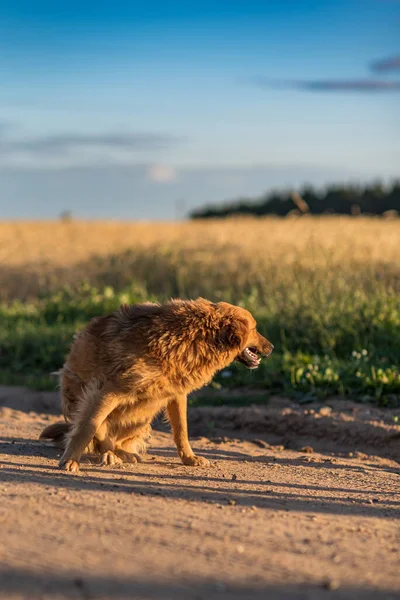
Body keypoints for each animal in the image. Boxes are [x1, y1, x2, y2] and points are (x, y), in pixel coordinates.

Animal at [39, 298, 272, 472]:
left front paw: (189, 458)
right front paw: (70, 459)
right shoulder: (108, 390)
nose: (272, 347)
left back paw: (123, 453)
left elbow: (181, 431)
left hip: (142, 417)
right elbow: (89, 427)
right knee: (100, 437)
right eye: (255, 329)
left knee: (115, 440)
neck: (192, 338)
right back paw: (110, 455)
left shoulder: (177, 394)